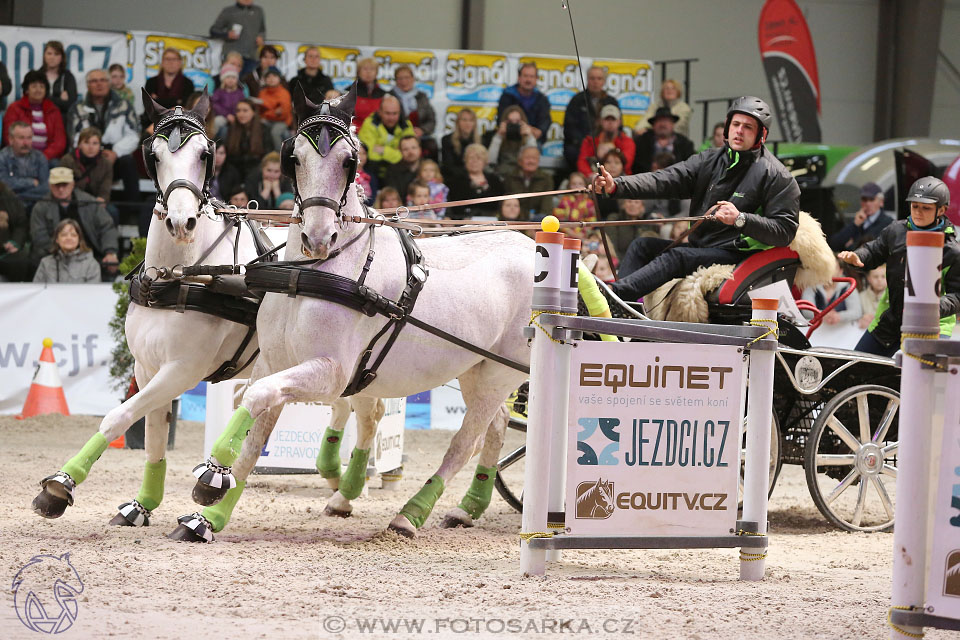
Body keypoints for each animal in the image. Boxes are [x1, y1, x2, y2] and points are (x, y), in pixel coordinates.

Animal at [175, 86, 528, 540]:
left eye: (349, 161)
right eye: (294, 157)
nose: (318, 237)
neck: (309, 273)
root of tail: (534, 248)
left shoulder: (332, 373)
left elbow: (254, 398)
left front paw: (213, 473)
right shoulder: (273, 363)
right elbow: (255, 430)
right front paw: (210, 515)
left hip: (500, 373)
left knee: (466, 441)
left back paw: (410, 515)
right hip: (476, 369)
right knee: (497, 427)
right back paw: (467, 508)